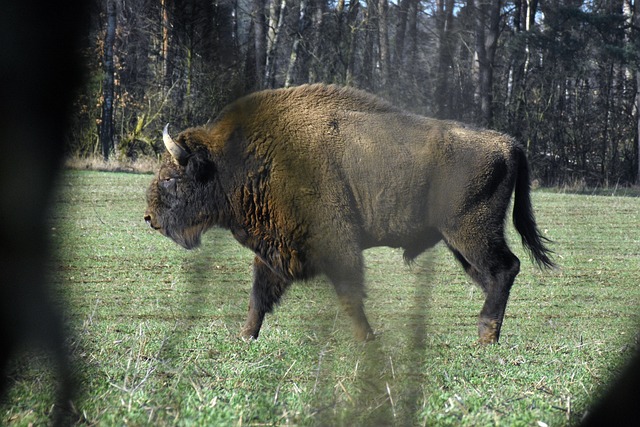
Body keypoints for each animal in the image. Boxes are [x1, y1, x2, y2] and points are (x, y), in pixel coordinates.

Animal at [145, 83, 556, 344]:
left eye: (170, 177)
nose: (149, 218)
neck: (236, 159)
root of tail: (509, 144)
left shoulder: (337, 245)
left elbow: (349, 295)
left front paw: (366, 339)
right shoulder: (275, 249)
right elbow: (259, 296)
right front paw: (245, 337)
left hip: (472, 233)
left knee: (505, 269)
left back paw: (486, 335)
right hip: (461, 242)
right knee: (491, 277)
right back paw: (487, 333)